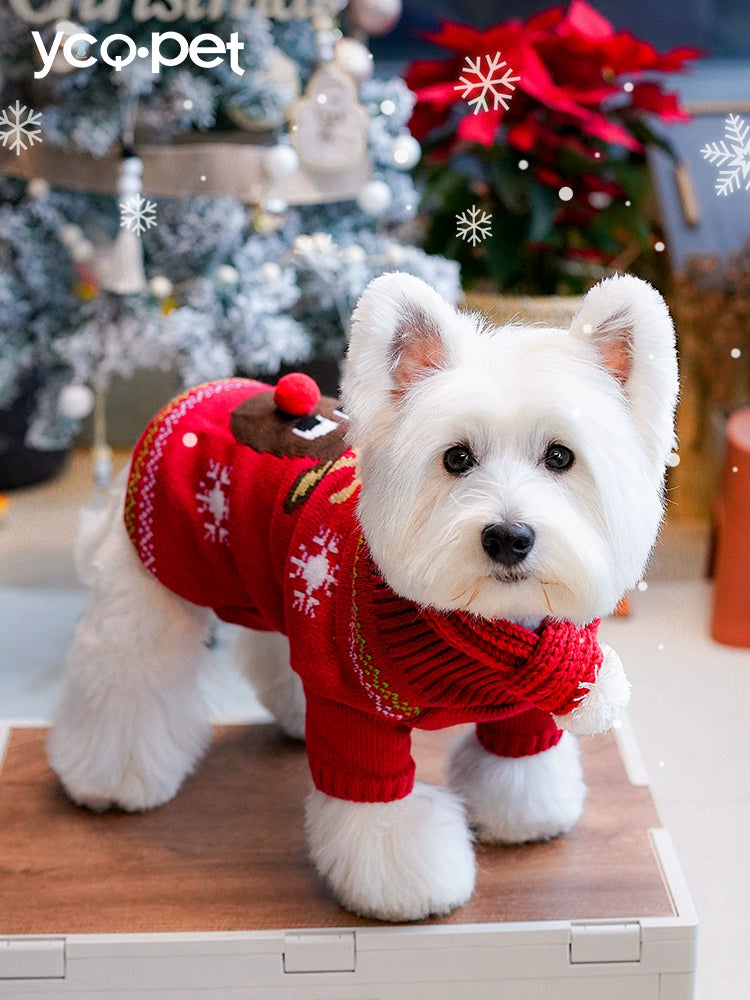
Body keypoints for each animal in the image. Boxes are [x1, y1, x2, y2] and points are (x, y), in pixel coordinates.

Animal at [48, 272, 680, 920]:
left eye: (560, 456)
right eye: (456, 458)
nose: (508, 537)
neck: (479, 624)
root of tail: (193, 395)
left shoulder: (533, 695)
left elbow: (522, 755)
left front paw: (525, 812)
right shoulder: (354, 707)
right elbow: (381, 813)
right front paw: (409, 885)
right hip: (155, 587)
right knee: (125, 682)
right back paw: (109, 777)